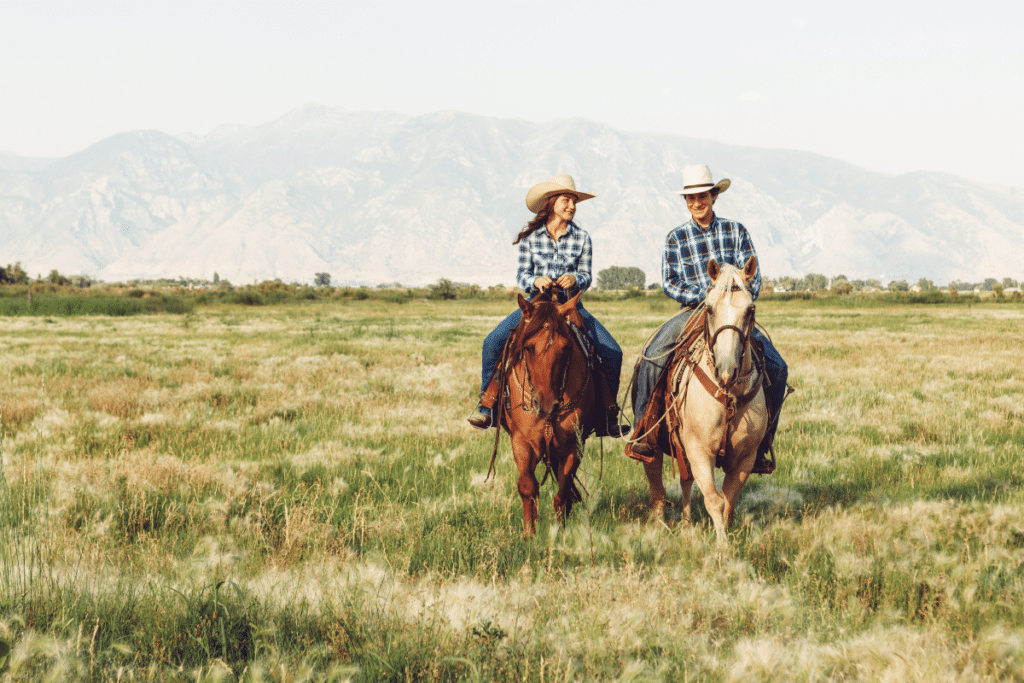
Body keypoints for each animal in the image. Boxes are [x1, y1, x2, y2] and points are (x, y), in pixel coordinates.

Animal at [487, 288, 598, 532]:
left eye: (566, 347)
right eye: (528, 347)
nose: (547, 406)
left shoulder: (573, 444)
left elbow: (563, 492)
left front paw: (561, 532)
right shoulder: (521, 441)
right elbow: (528, 487)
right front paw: (530, 533)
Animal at [638, 255, 770, 544]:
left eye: (750, 309)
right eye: (708, 309)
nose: (727, 370)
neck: (728, 395)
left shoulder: (745, 459)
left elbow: (728, 501)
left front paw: (727, 537)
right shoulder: (699, 451)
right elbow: (714, 500)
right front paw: (722, 546)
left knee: (685, 481)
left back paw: (687, 525)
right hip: (653, 441)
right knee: (656, 482)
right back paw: (658, 525)